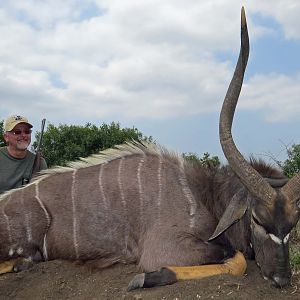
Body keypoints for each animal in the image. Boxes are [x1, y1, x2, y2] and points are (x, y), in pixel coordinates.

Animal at [0, 7, 298, 290]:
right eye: (257, 219)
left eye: (292, 224)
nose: (281, 279)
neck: (204, 194)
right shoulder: (165, 248)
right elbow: (236, 260)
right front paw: (144, 278)